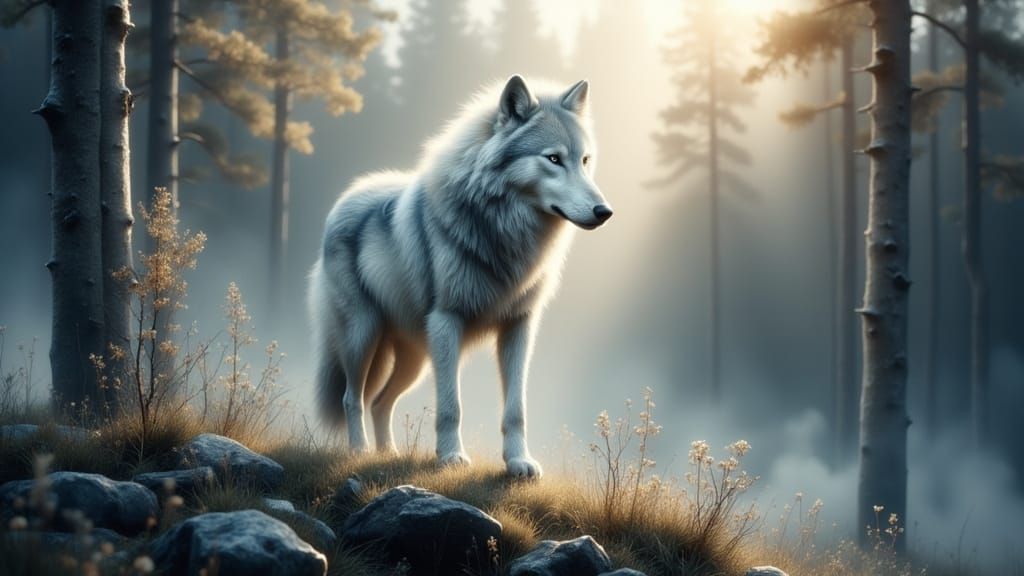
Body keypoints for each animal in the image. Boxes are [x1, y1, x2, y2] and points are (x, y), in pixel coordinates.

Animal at [308, 75, 611, 478]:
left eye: (585, 160)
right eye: (553, 159)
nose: (604, 211)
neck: (504, 232)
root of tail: (346, 198)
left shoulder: (519, 327)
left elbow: (516, 409)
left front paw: (518, 462)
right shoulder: (446, 321)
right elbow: (452, 406)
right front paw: (451, 457)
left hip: (414, 361)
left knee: (380, 402)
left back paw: (388, 455)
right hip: (363, 336)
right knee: (352, 398)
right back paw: (359, 452)